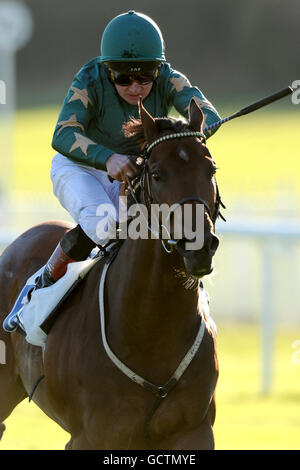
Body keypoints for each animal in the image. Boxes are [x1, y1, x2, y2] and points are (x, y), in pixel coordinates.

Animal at [0, 98, 220, 448]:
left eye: (210, 169)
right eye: (157, 174)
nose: (198, 244)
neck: (150, 332)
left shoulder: (193, 431)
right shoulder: (90, 437)